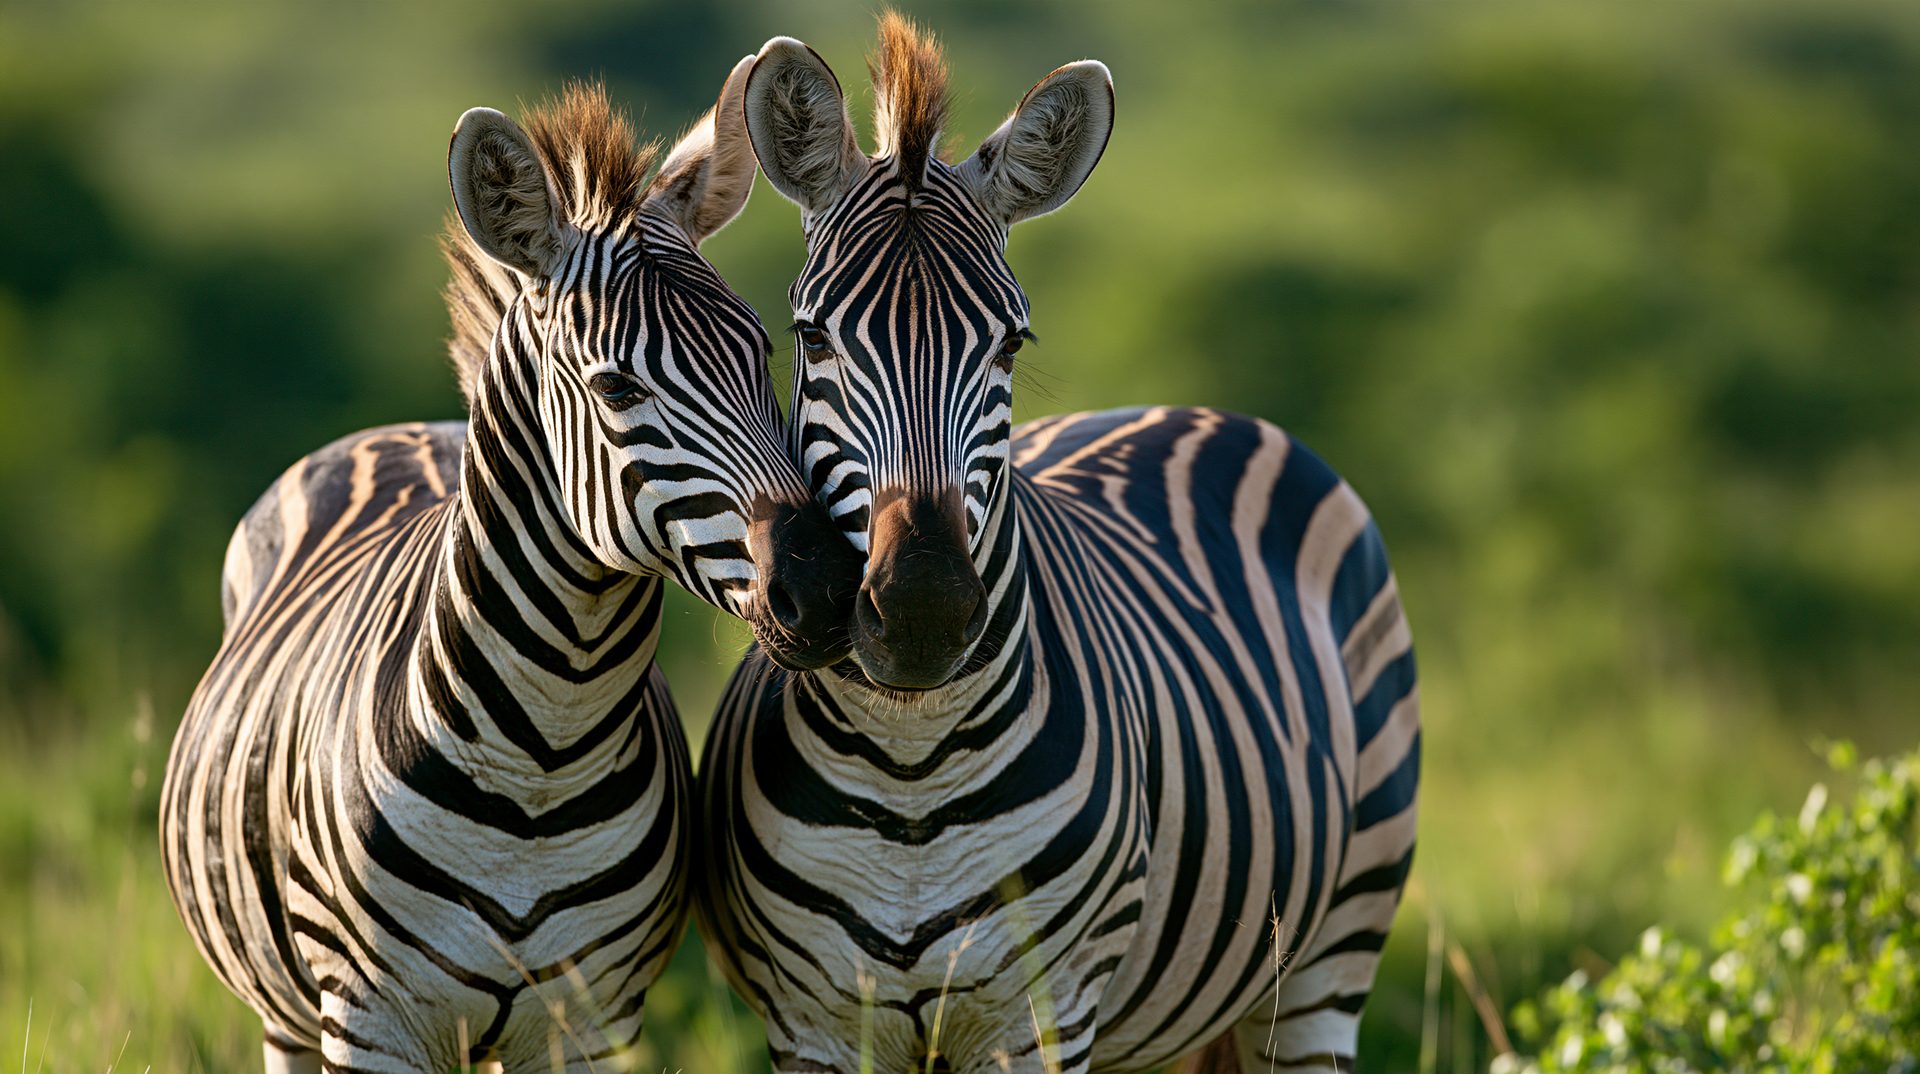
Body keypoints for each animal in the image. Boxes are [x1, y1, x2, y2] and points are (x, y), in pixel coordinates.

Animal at [160, 67, 863, 1074]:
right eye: (615, 388)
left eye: (762, 352)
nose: (830, 589)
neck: (544, 753)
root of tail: (395, 432)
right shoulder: (369, 1022)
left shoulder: (590, 1022)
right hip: (289, 1016)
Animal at [696, 17, 1420, 1074]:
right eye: (812, 337)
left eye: (1010, 345)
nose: (920, 610)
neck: (908, 767)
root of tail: (1192, 409)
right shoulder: (814, 1025)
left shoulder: (1046, 1014)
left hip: (1336, 944)